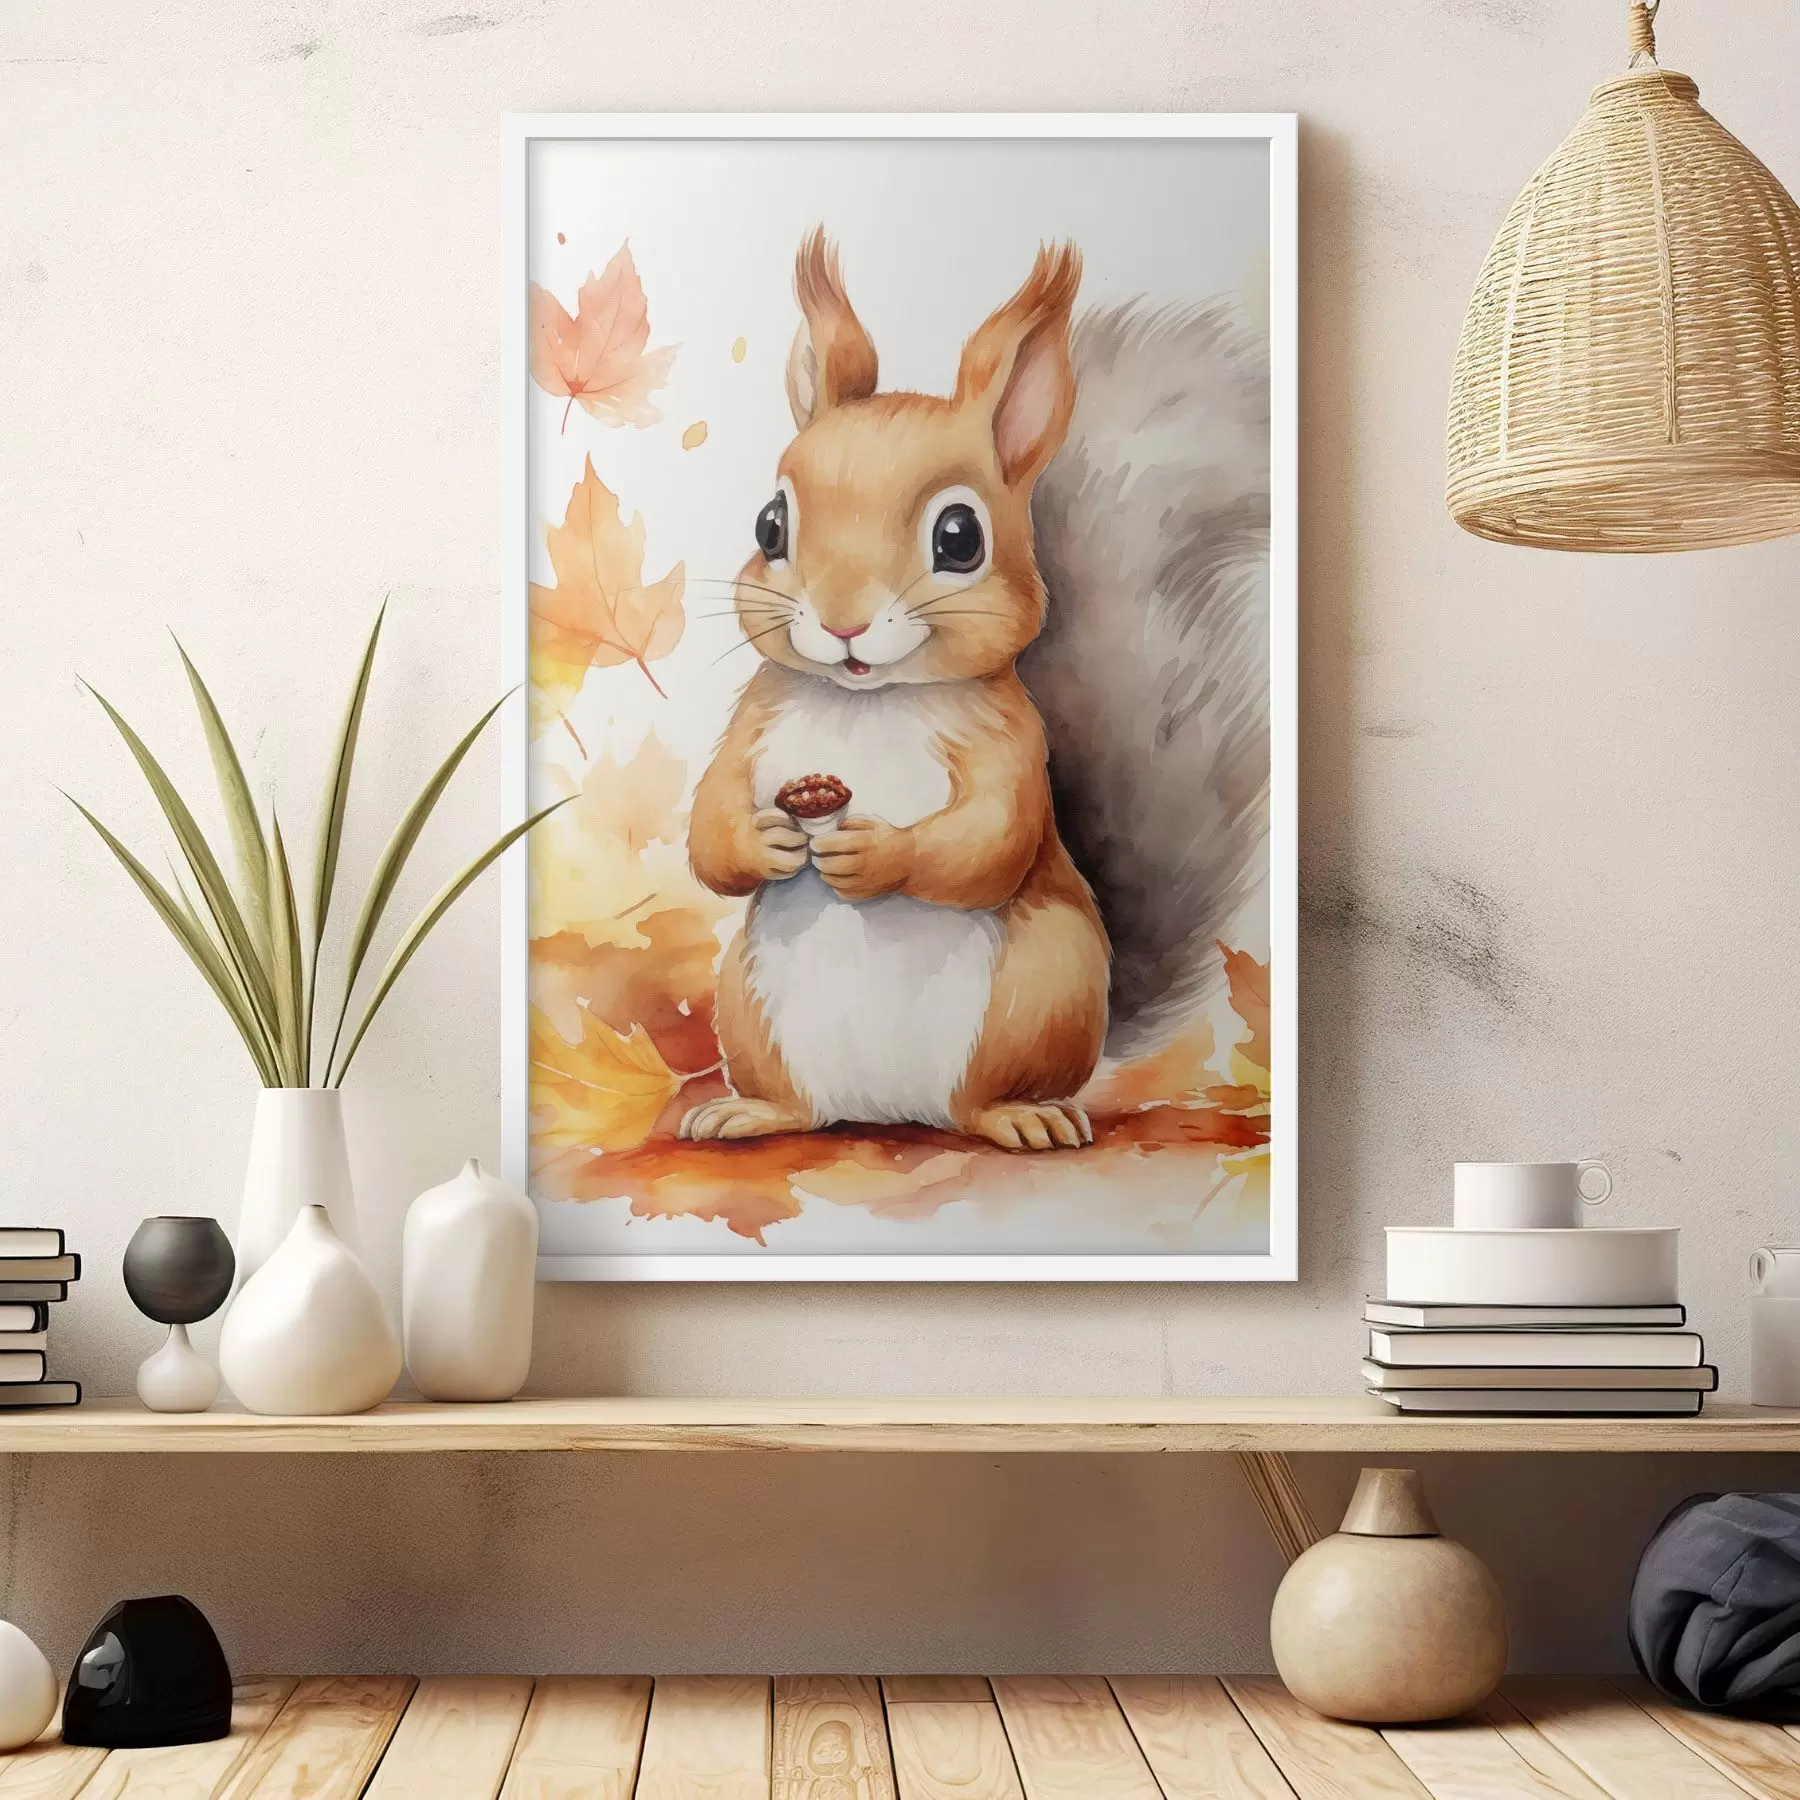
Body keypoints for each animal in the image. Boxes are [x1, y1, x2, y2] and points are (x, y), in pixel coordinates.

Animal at [683, 229, 1270, 1153]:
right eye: (768, 526)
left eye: (959, 538)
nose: (842, 622)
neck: (869, 700)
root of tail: (891, 1113)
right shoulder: (752, 725)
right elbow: (709, 826)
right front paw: (766, 841)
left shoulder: (1013, 742)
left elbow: (991, 838)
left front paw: (877, 855)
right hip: (746, 1006)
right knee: (800, 1105)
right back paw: (750, 1112)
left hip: (1041, 988)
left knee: (987, 1100)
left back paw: (1024, 1117)